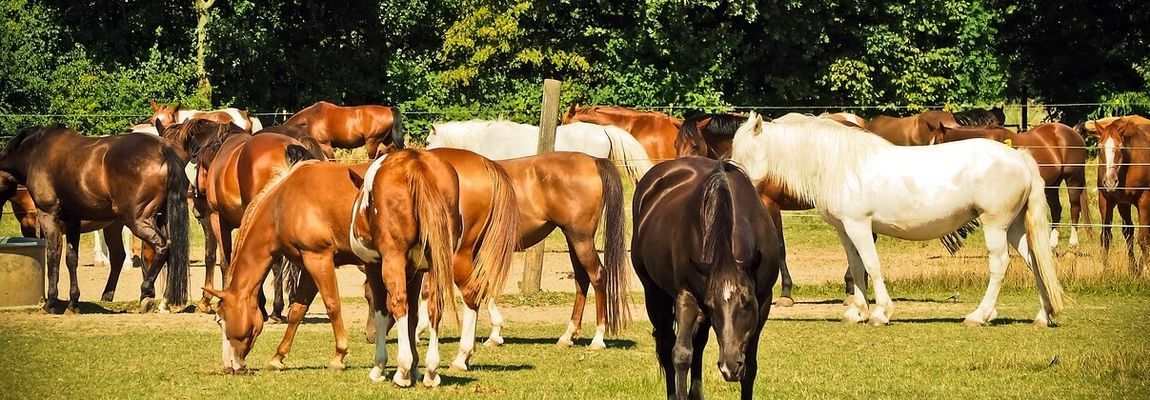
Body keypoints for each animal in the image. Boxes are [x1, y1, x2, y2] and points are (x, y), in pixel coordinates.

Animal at [0, 126, 190, 313]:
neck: (35, 151)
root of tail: (163, 151)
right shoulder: (73, 221)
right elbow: (71, 258)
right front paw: (73, 303)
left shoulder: (49, 217)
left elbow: (53, 255)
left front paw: (51, 302)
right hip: (160, 218)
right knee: (170, 254)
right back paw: (163, 301)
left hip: (137, 220)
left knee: (162, 247)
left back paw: (146, 293)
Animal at [632, 157, 782, 400]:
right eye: (712, 305)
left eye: (747, 303)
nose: (729, 367)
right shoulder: (688, 296)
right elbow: (681, 355)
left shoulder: (764, 300)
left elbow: (750, 366)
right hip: (654, 294)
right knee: (666, 344)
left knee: (699, 345)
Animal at [731, 112, 1065, 326]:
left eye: (746, 150)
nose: (731, 177)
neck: (840, 164)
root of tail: (1019, 157)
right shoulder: (845, 230)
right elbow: (856, 267)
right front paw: (858, 312)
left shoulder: (859, 226)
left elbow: (872, 266)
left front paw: (881, 313)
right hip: (1015, 228)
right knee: (1035, 261)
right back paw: (1043, 316)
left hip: (995, 224)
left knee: (1000, 265)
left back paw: (978, 316)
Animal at [935, 123, 1092, 248]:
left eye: (938, 142)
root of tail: (1073, 132)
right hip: (1052, 185)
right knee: (1056, 210)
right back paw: (1052, 244)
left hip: (1073, 179)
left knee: (1074, 208)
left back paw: (1073, 243)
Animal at [1091, 116, 1150, 275]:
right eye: (1100, 148)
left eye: (1121, 148)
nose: (1110, 182)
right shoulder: (1109, 200)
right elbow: (1108, 236)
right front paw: (1105, 271)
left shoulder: (1144, 200)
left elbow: (1143, 238)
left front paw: (1145, 270)